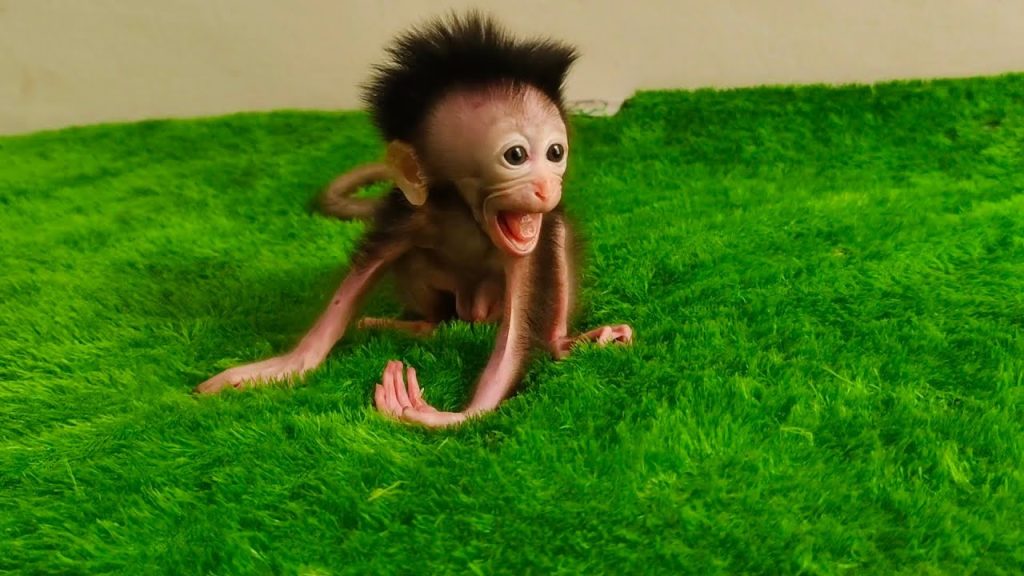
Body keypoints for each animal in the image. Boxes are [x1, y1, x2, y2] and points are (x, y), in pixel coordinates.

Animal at [196, 12, 633, 428]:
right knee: (423, 280)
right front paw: (286, 365)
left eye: (555, 152)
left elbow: (519, 325)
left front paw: (451, 417)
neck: (466, 213)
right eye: (516, 156)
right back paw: (413, 326)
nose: (546, 187)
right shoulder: (412, 214)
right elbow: (362, 275)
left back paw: (562, 341)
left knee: (556, 236)